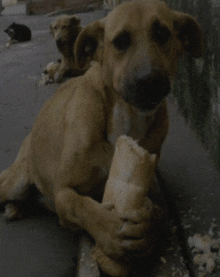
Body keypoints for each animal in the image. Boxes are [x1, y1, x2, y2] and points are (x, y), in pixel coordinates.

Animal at [0, 0, 204, 268]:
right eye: (120, 41)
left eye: (163, 33)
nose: (150, 82)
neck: (125, 119)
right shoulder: (63, 191)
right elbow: (81, 206)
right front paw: (110, 231)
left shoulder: (148, 184)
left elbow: (158, 212)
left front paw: (148, 229)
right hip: (15, 182)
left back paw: (17, 208)